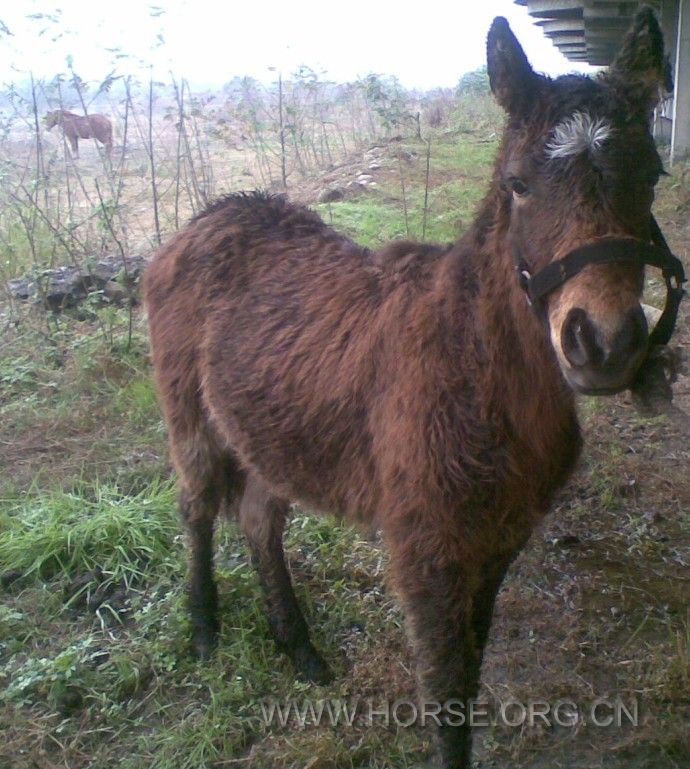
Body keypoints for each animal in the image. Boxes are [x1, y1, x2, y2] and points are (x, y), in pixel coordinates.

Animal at [145, 7, 684, 768]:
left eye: (653, 175)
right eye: (517, 183)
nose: (604, 342)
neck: (475, 365)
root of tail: (210, 214)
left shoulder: (497, 541)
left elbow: (472, 668)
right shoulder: (425, 548)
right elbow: (446, 687)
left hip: (271, 431)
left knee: (256, 518)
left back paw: (298, 647)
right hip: (188, 412)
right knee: (194, 505)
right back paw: (203, 628)